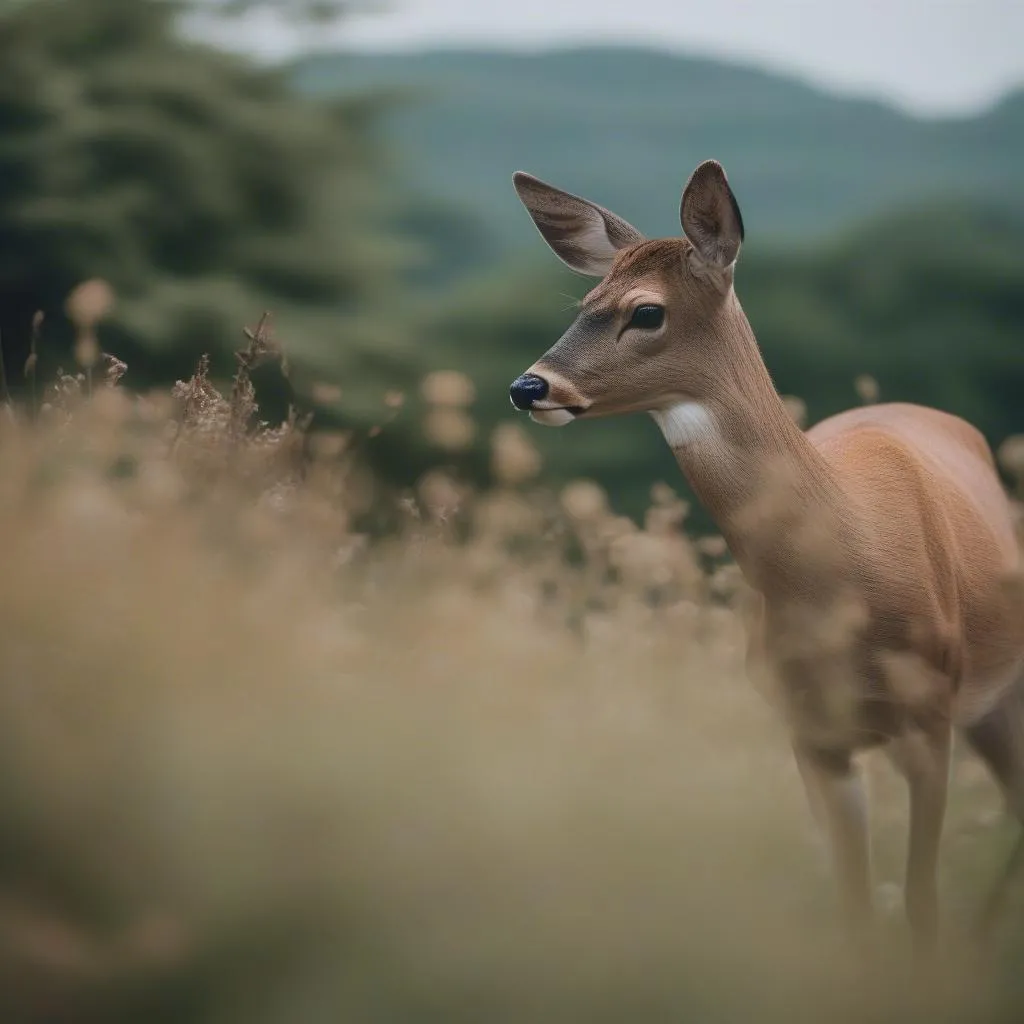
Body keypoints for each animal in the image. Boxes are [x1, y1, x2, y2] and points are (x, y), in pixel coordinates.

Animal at [505, 159, 1024, 958]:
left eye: (645, 312)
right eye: (585, 301)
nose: (528, 386)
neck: (848, 581)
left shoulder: (928, 714)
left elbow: (919, 906)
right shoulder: (809, 730)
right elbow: (853, 909)